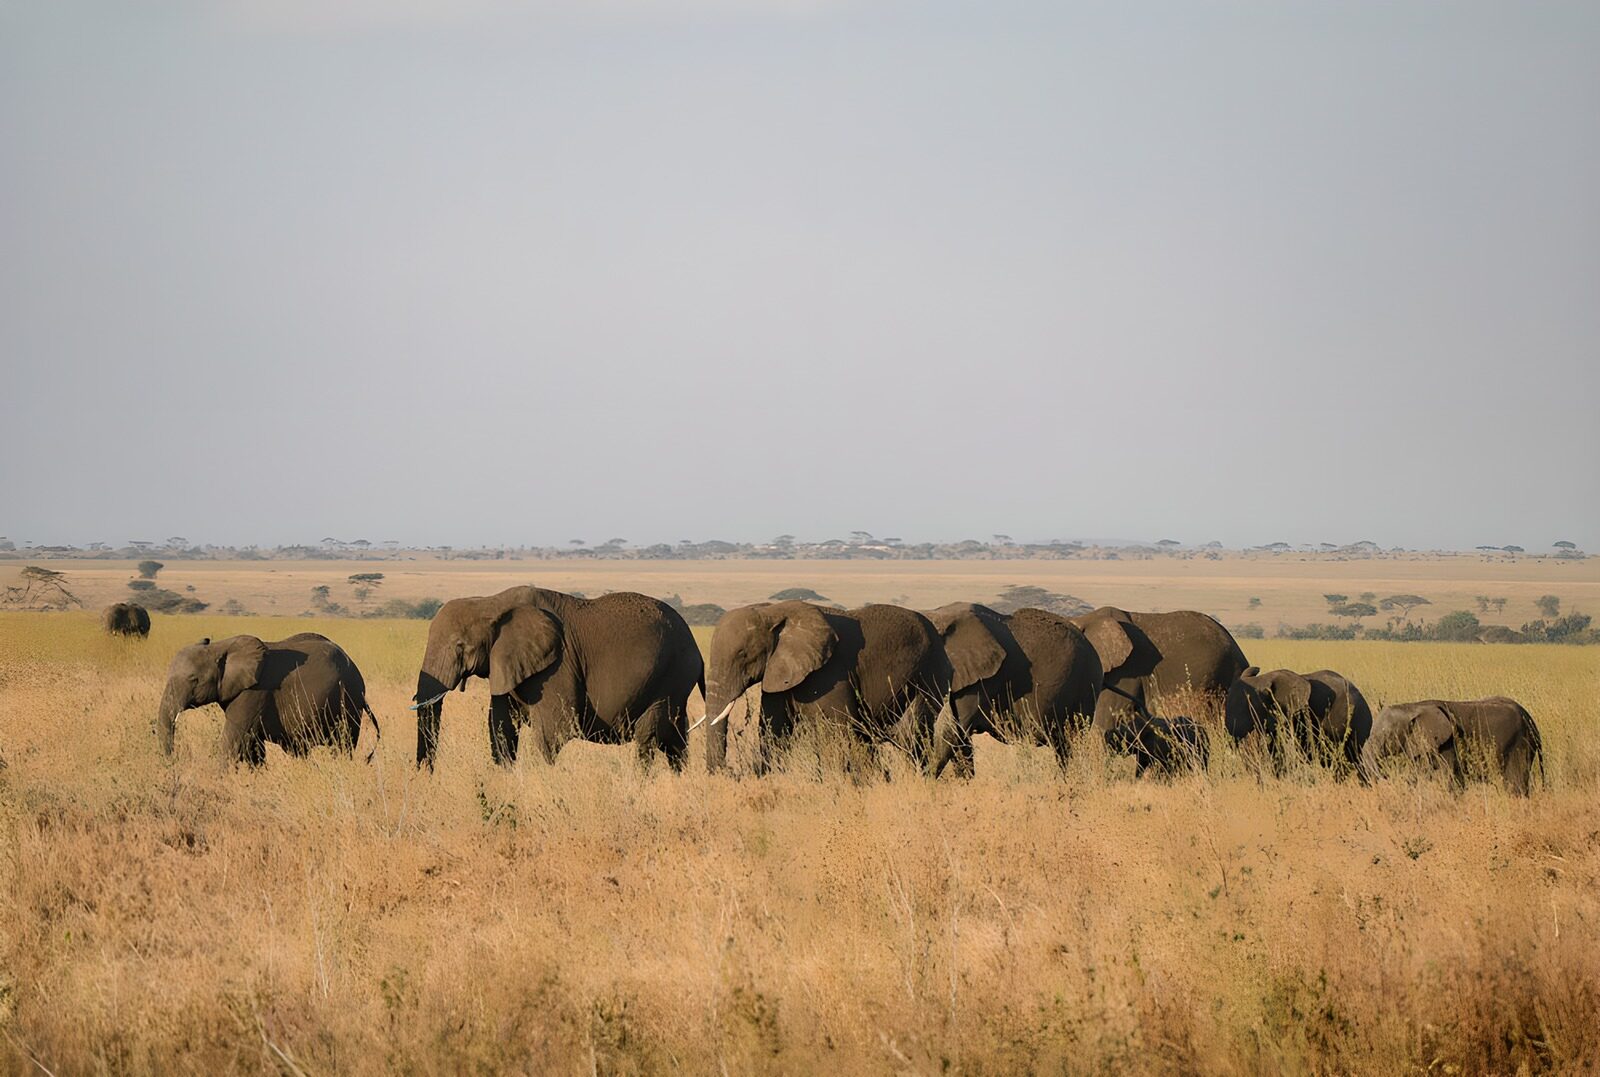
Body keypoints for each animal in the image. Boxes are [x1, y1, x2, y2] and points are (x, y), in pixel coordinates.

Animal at [156, 633, 377, 764]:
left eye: (193, 679)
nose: (174, 761)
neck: (221, 646)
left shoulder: (254, 692)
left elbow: (233, 740)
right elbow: (253, 747)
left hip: (349, 701)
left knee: (343, 745)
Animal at [412, 586, 703, 770]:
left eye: (459, 646)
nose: (425, 775)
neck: (490, 602)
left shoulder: (557, 664)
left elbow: (553, 729)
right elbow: (502, 728)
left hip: (671, 676)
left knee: (649, 738)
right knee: (675, 741)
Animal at [702, 602, 951, 775]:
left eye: (743, 655)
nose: (730, 771)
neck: (772, 611)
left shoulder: (828, 673)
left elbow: (833, 730)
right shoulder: (782, 672)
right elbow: (774, 729)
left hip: (929, 674)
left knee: (911, 735)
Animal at [923, 602, 1102, 777]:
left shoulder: (982, 680)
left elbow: (951, 730)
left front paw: (925, 779)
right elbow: (957, 736)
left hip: (1085, 686)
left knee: (1071, 742)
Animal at [1361, 698, 1542, 795]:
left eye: (1385, 736)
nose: (1386, 775)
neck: (1411, 707)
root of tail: (1530, 719)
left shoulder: (1447, 744)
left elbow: (1446, 777)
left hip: (1520, 745)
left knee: (1516, 784)